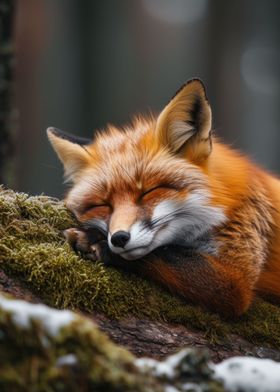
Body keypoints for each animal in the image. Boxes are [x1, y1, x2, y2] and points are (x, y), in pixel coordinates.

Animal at [47, 79, 280, 318]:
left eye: (149, 192)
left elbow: (165, 253)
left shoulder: (236, 278)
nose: (118, 238)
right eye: (102, 205)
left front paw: (95, 239)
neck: (224, 201)